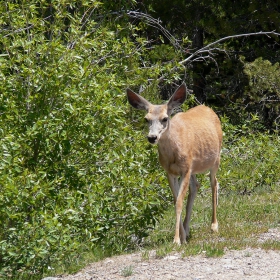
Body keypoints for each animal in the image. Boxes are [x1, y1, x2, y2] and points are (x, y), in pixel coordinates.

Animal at [127, 83, 223, 245]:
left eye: (165, 118)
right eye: (146, 119)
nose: (152, 137)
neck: (173, 153)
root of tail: (208, 108)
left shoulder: (185, 169)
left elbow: (179, 202)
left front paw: (177, 240)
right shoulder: (170, 172)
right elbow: (175, 200)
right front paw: (183, 237)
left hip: (216, 159)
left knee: (214, 183)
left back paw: (214, 225)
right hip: (194, 167)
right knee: (195, 187)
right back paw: (188, 229)